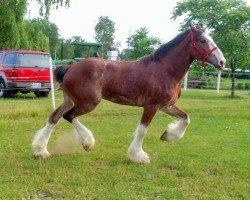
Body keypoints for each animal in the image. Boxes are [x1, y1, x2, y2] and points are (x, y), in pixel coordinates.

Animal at [32, 25, 226, 164]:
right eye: (203, 40)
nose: (222, 62)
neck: (165, 71)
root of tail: (70, 67)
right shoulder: (151, 106)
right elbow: (142, 130)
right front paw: (139, 156)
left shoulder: (167, 106)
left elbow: (186, 118)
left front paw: (168, 135)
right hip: (88, 102)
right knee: (69, 116)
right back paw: (87, 142)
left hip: (70, 100)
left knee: (54, 118)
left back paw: (41, 151)